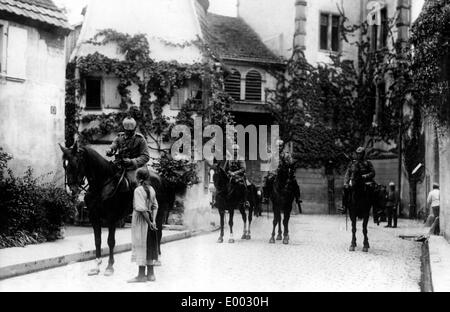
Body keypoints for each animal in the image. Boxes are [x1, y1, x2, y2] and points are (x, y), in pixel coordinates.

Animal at [59, 143, 183, 274]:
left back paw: (157, 259)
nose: (72, 188)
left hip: (159, 213)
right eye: (65, 165)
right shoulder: (94, 217)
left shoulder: (112, 218)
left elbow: (110, 241)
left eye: (76, 162)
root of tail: (161, 178)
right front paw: (97, 265)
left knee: (158, 233)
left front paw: (109, 266)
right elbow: (97, 240)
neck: (102, 185)